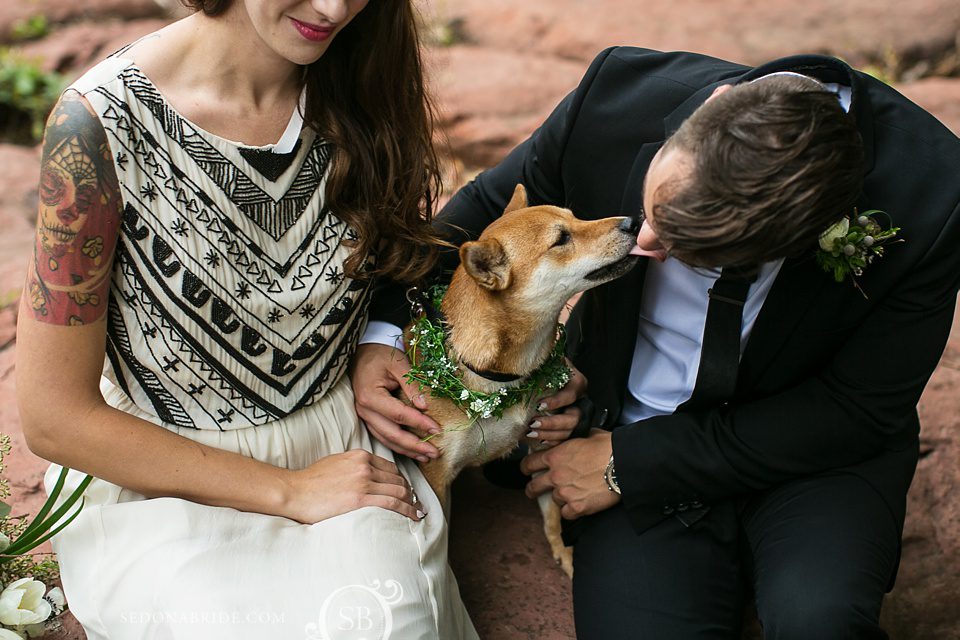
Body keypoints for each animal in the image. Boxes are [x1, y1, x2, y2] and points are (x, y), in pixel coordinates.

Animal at [402, 184, 640, 576]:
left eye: (576, 217)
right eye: (561, 239)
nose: (633, 222)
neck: (500, 377)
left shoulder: (542, 440)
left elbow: (551, 512)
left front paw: (564, 553)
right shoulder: (434, 477)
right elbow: (442, 541)